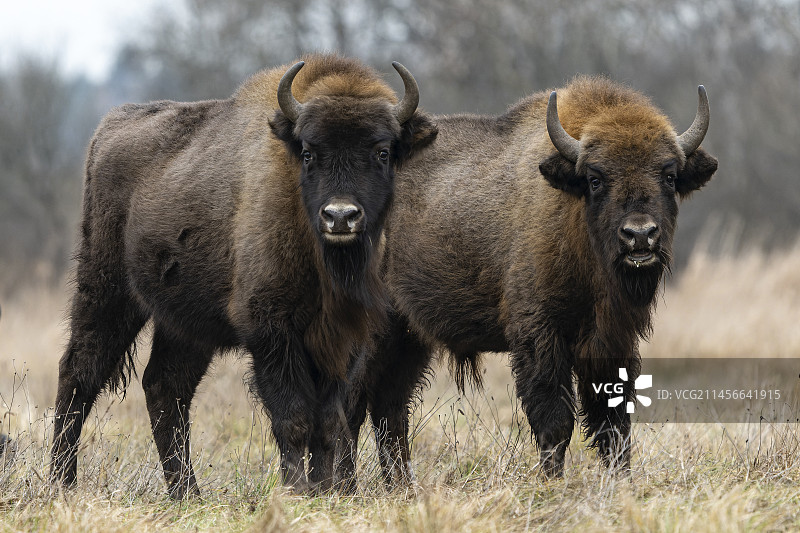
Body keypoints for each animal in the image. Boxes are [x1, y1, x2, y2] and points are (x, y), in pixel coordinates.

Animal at [51, 54, 437, 498]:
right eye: (309, 152)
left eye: (383, 151)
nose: (340, 216)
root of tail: (109, 127)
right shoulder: (270, 332)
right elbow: (294, 417)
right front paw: (296, 490)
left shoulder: (343, 342)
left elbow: (328, 421)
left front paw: (323, 490)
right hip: (106, 291)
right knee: (80, 373)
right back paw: (61, 482)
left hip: (184, 325)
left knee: (165, 386)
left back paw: (187, 493)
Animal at [347, 76, 717, 484]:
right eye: (595, 179)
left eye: (669, 175)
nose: (640, 235)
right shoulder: (540, 335)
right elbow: (555, 420)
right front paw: (551, 483)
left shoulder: (612, 340)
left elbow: (613, 420)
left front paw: (620, 483)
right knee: (351, 403)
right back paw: (346, 485)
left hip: (407, 338)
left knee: (389, 408)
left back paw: (402, 487)